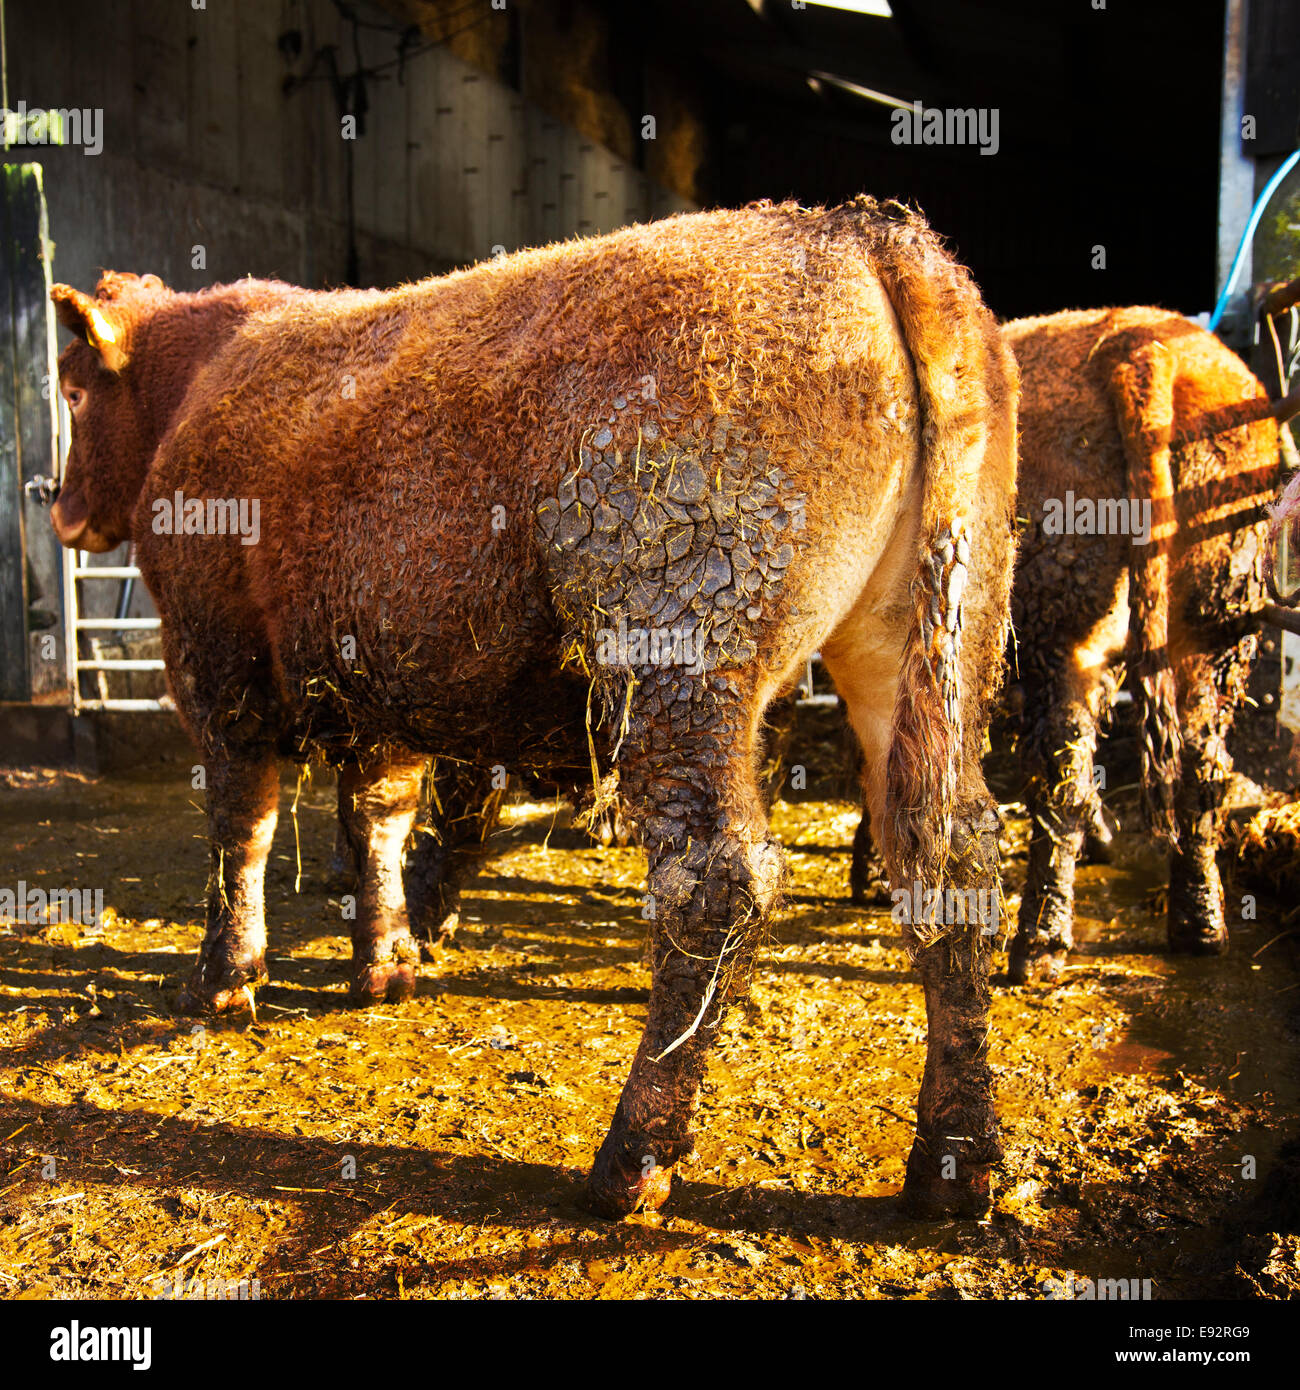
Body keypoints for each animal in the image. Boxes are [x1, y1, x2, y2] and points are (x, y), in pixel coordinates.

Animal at [50, 198, 1023, 1217]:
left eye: (72, 394)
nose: (59, 507)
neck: (198, 384)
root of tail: (864, 231)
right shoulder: (379, 681)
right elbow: (380, 819)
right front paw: (385, 960)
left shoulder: (215, 660)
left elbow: (242, 825)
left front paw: (225, 980)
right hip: (931, 635)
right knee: (951, 852)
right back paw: (956, 1157)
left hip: (677, 641)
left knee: (718, 882)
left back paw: (636, 1152)